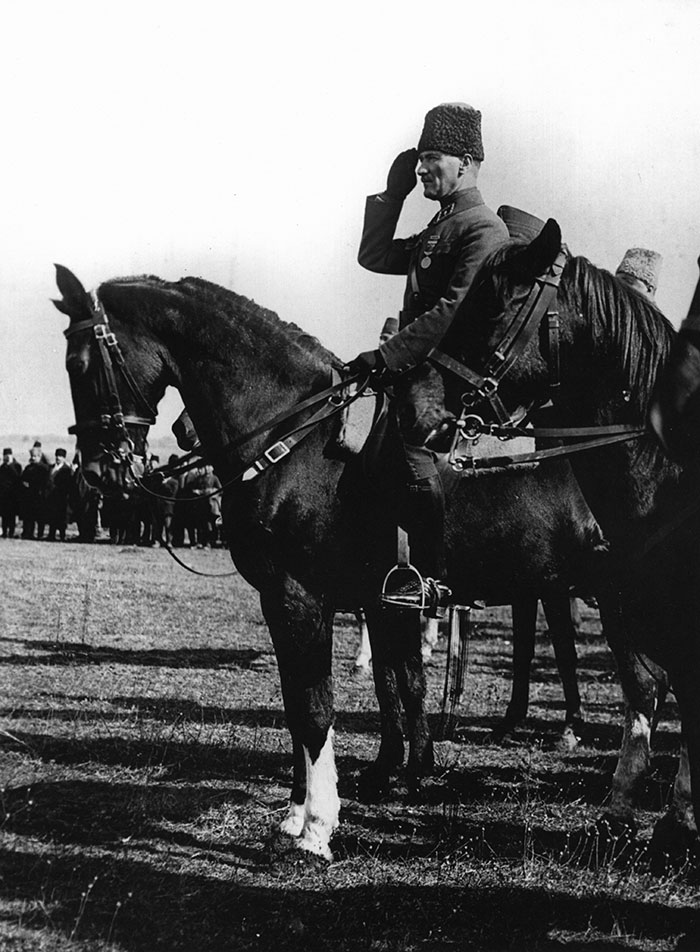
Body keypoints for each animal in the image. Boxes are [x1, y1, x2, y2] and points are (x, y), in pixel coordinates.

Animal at [56, 264, 608, 860]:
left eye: (78, 365)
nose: (98, 472)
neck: (293, 440)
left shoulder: (303, 597)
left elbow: (318, 705)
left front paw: (319, 827)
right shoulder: (301, 601)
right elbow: (306, 700)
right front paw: (298, 813)